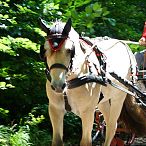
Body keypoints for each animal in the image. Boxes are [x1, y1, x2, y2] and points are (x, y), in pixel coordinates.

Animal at [39, 18, 139, 146]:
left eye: (69, 50)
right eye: (45, 50)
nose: (58, 85)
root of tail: (123, 44)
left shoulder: (87, 112)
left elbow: (86, 141)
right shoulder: (55, 109)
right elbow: (57, 141)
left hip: (118, 99)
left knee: (112, 127)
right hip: (102, 102)